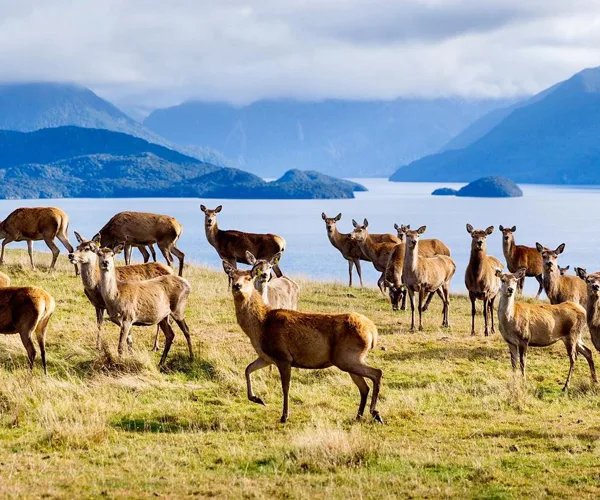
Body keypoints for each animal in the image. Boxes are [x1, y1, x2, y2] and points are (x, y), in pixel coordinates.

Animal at [223, 264, 382, 424]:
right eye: (232, 276)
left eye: (248, 278)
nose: (237, 286)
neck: (260, 327)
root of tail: (373, 333)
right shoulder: (266, 357)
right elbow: (247, 369)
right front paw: (257, 398)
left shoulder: (283, 356)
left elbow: (285, 387)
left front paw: (284, 416)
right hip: (348, 360)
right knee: (364, 387)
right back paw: (359, 415)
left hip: (347, 357)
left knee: (377, 373)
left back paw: (375, 412)